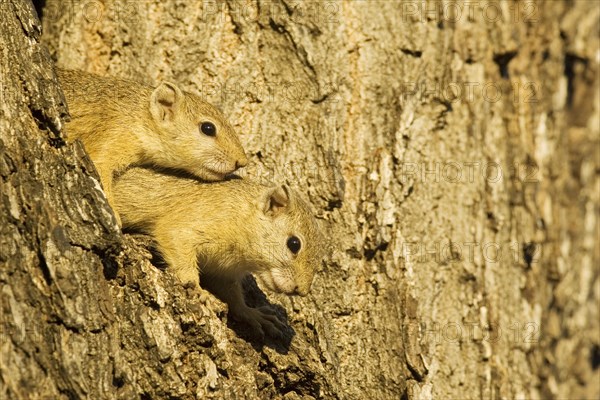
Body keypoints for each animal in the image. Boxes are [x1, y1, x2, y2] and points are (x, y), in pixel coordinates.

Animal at [56, 69, 248, 225]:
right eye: (208, 128)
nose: (242, 161)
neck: (139, 115)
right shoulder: (110, 137)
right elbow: (100, 175)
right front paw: (114, 216)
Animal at [112, 166, 324, 338]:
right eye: (294, 243)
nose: (301, 291)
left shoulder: (222, 271)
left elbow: (232, 295)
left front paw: (252, 314)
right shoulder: (191, 224)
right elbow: (178, 247)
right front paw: (197, 290)